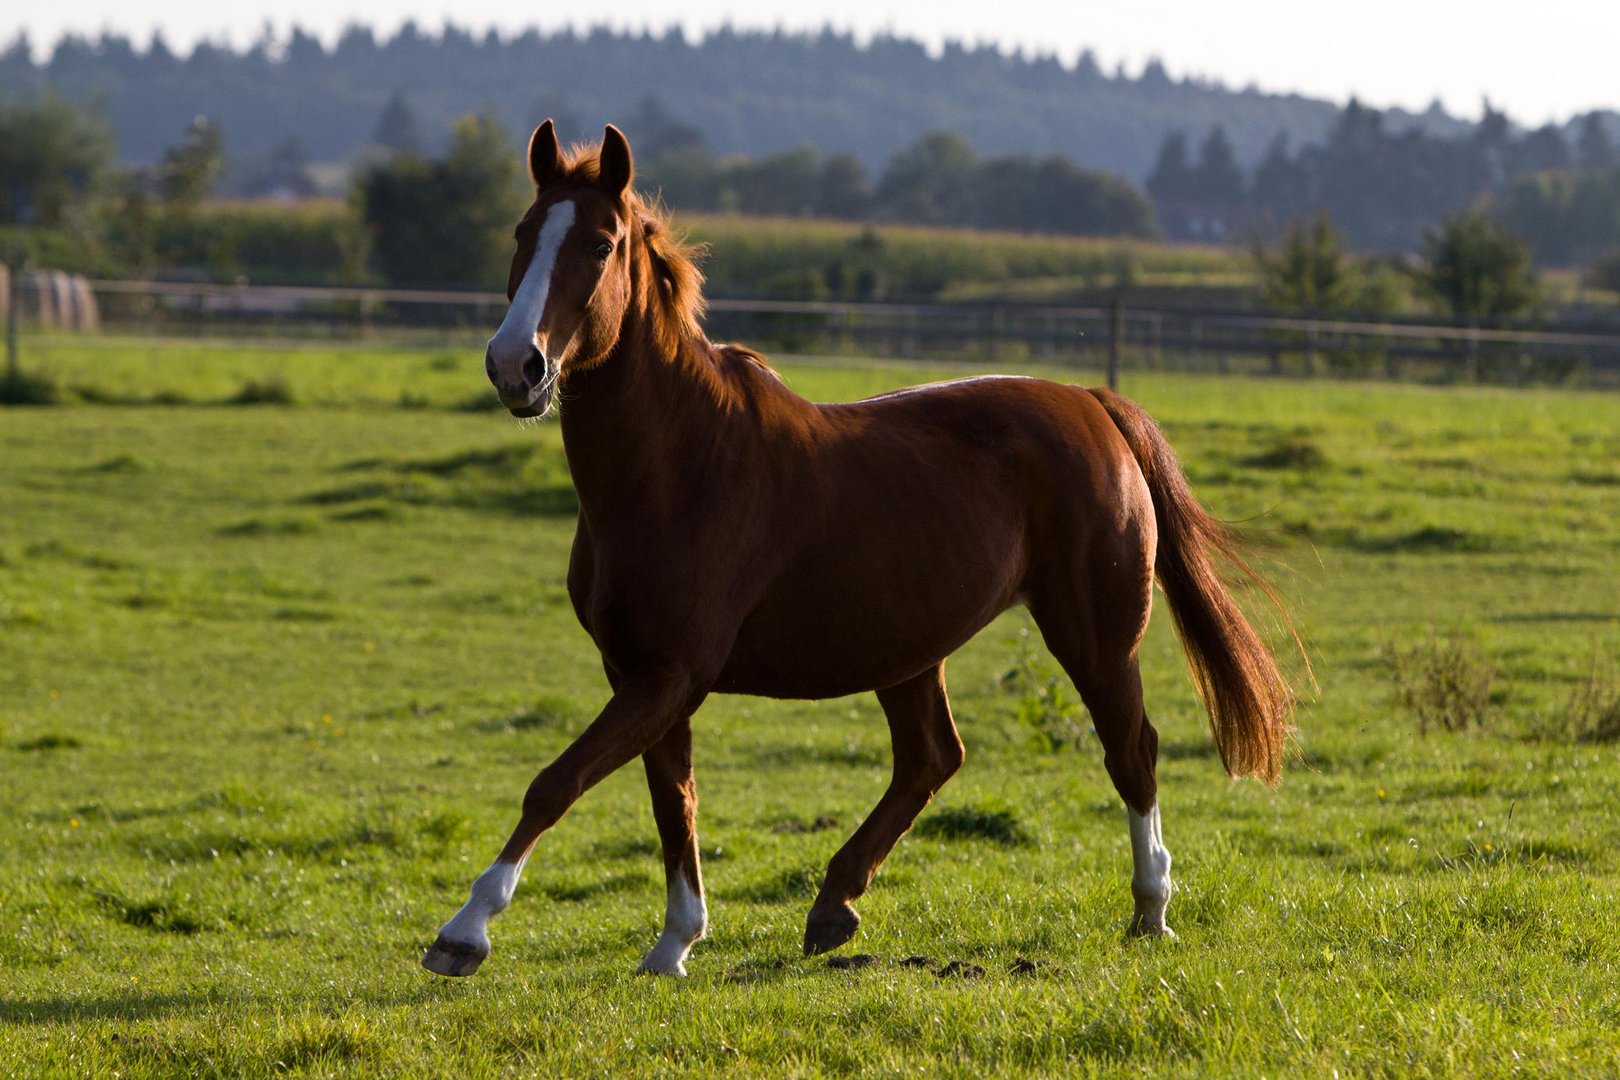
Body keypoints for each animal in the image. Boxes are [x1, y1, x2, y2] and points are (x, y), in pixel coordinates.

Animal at [424, 120, 1296, 977]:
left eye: (601, 243)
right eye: (522, 233)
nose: (515, 365)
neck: (678, 466)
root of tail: (1091, 404)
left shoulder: (670, 673)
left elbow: (557, 781)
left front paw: (465, 932)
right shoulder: (639, 671)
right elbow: (674, 800)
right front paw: (675, 942)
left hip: (1096, 637)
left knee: (1130, 750)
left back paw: (1151, 909)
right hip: (909, 648)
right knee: (932, 757)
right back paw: (834, 904)